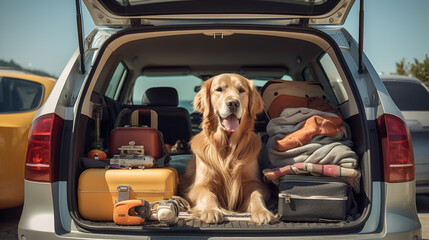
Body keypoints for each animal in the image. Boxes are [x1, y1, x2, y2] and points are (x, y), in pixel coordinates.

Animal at [180, 73, 274, 225]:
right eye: (219, 89)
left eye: (241, 90)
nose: (233, 103)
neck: (228, 147)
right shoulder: (198, 186)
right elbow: (209, 195)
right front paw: (211, 210)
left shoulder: (255, 183)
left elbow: (256, 195)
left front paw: (262, 211)